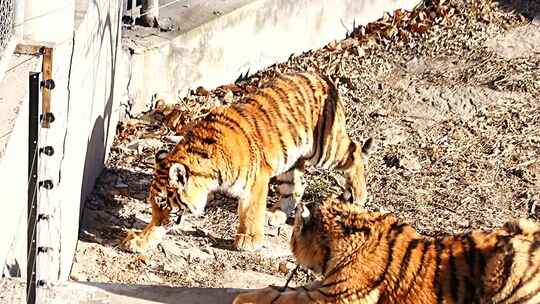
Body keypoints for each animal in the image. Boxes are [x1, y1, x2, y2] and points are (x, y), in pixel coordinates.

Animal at [120, 70, 374, 252]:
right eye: (153, 205)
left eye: (163, 203)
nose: (158, 214)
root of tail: (321, 76)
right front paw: (139, 240)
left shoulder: (257, 179)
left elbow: (251, 210)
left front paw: (248, 239)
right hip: (290, 163)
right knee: (296, 188)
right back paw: (275, 215)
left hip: (325, 148)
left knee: (354, 151)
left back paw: (359, 195)